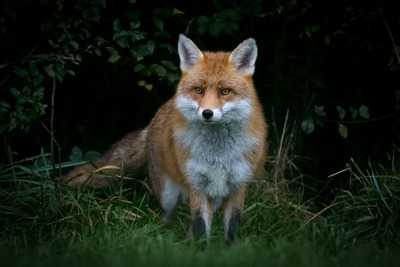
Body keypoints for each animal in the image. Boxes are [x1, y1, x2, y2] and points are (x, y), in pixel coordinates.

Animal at [63, 34, 268, 246]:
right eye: (199, 90)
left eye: (225, 91)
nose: (207, 113)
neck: (217, 154)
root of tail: (157, 114)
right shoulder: (196, 186)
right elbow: (201, 228)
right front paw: (201, 250)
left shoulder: (238, 186)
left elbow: (232, 229)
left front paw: (229, 250)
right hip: (168, 195)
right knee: (167, 218)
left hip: (216, 196)